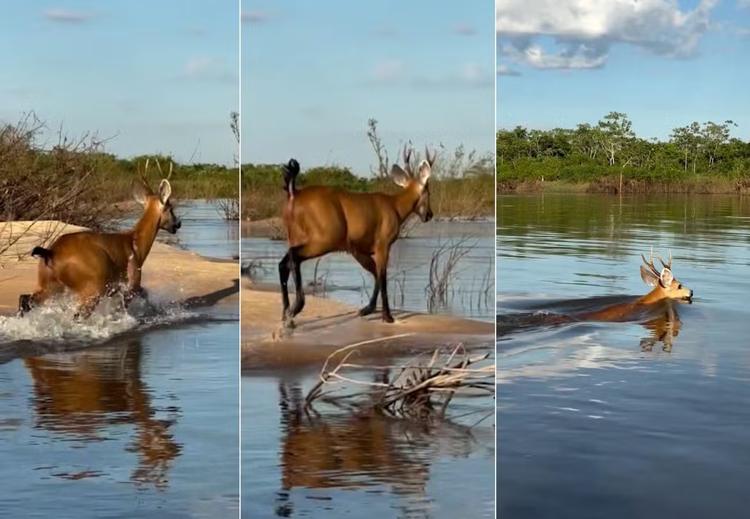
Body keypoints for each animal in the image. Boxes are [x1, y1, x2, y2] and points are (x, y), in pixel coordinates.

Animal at [17, 159, 181, 318]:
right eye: (170, 208)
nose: (178, 224)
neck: (136, 244)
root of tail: (51, 253)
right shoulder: (131, 283)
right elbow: (129, 304)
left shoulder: (118, 289)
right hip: (92, 287)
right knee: (78, 315)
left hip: (49, 284)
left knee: (24, 299)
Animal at [279, 145, 436, 324]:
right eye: (428, 192)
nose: (429, 214)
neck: (395, 207)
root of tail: (294, 193)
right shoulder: (383, 244)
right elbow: (382, 276)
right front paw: (387, 316)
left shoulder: (358, 249)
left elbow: (376, 274)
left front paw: (367, 309)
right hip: (324, 239)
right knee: (293, 256)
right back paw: (296, 307)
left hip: (294, 236)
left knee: (283, 263)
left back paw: (286, 313)